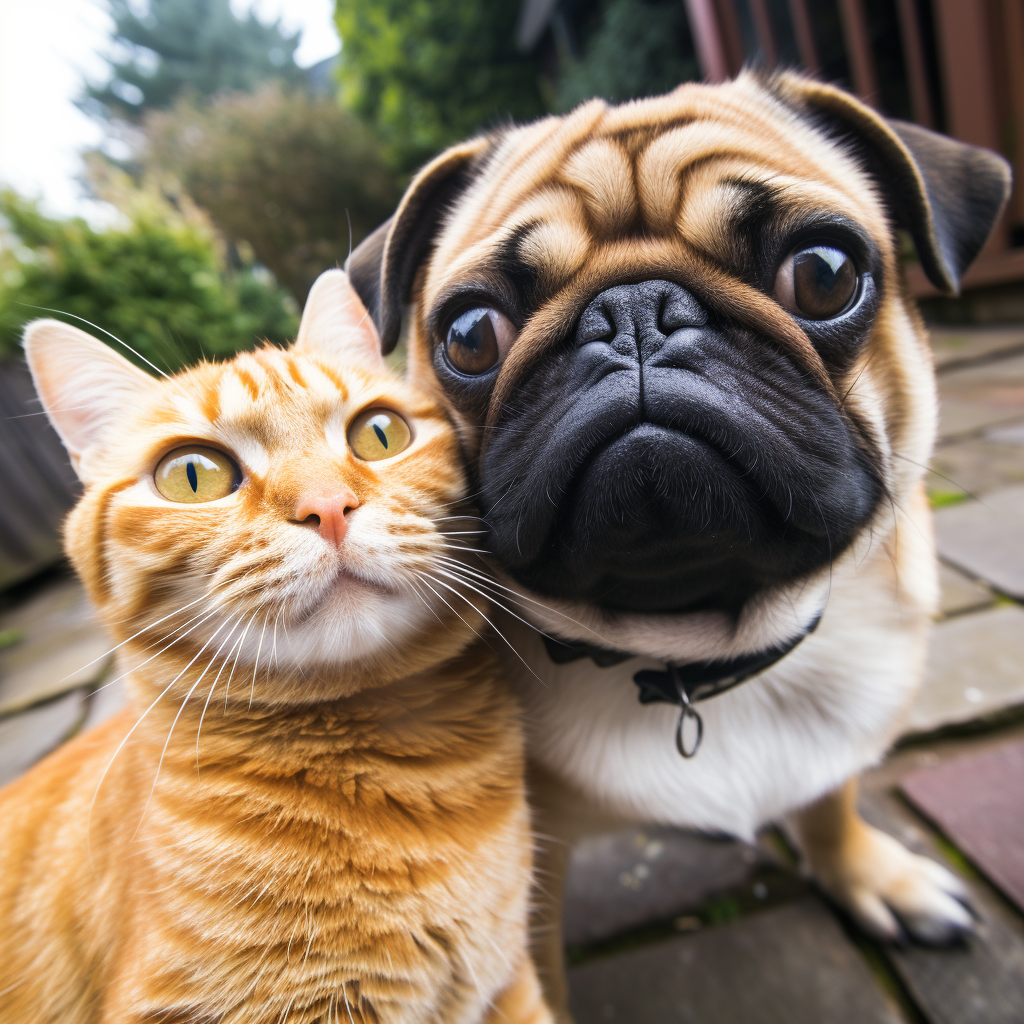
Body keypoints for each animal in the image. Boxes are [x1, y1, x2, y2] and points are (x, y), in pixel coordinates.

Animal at [348, 70, 1011, 1015]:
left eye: (824, 274)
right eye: (470, 335)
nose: (632, 311)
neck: (699, 657)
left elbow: (830, 798)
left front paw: (873, 876)